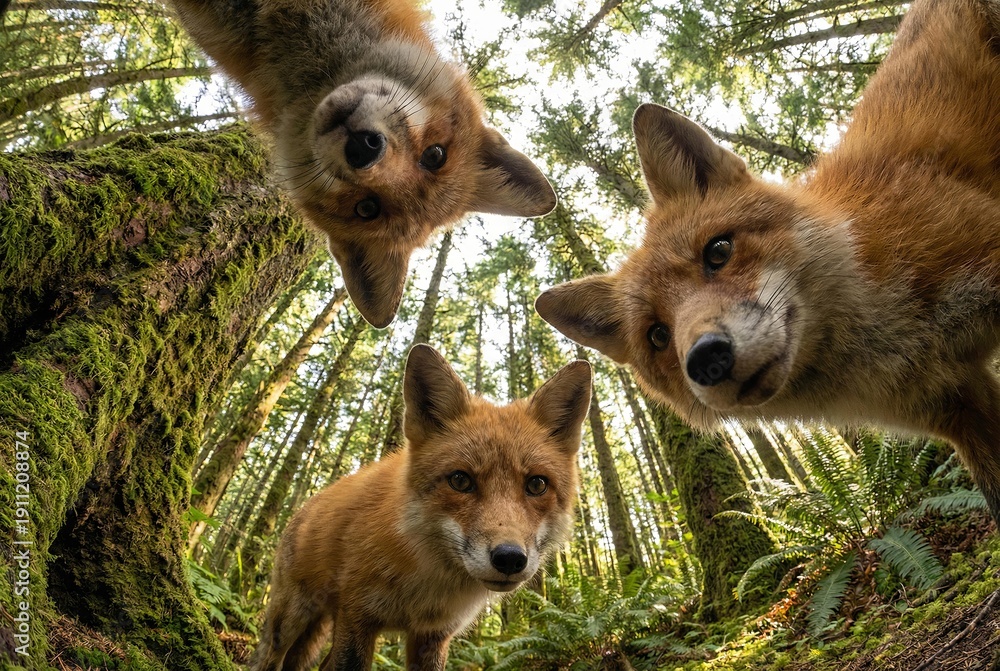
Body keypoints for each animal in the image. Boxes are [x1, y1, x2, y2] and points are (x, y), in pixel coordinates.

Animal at [248, 344, 592, 671]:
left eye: (536, 485)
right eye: (460, 480)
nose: (509, 558)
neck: (425, 587)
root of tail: (307, 503)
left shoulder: (433, 635)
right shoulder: (357, 617)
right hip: (290, 619)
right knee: (269, 658)